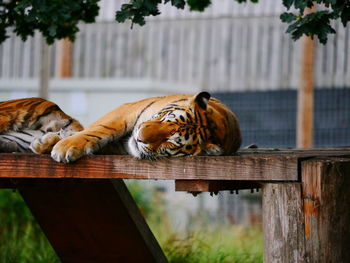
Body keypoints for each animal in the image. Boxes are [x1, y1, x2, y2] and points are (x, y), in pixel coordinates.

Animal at [0, 93, 241, 163]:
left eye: (171, 142)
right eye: (164, 118)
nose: (140, 137)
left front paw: (53, 144)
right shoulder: (126, 111)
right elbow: (96, 130)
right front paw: (61, 146)